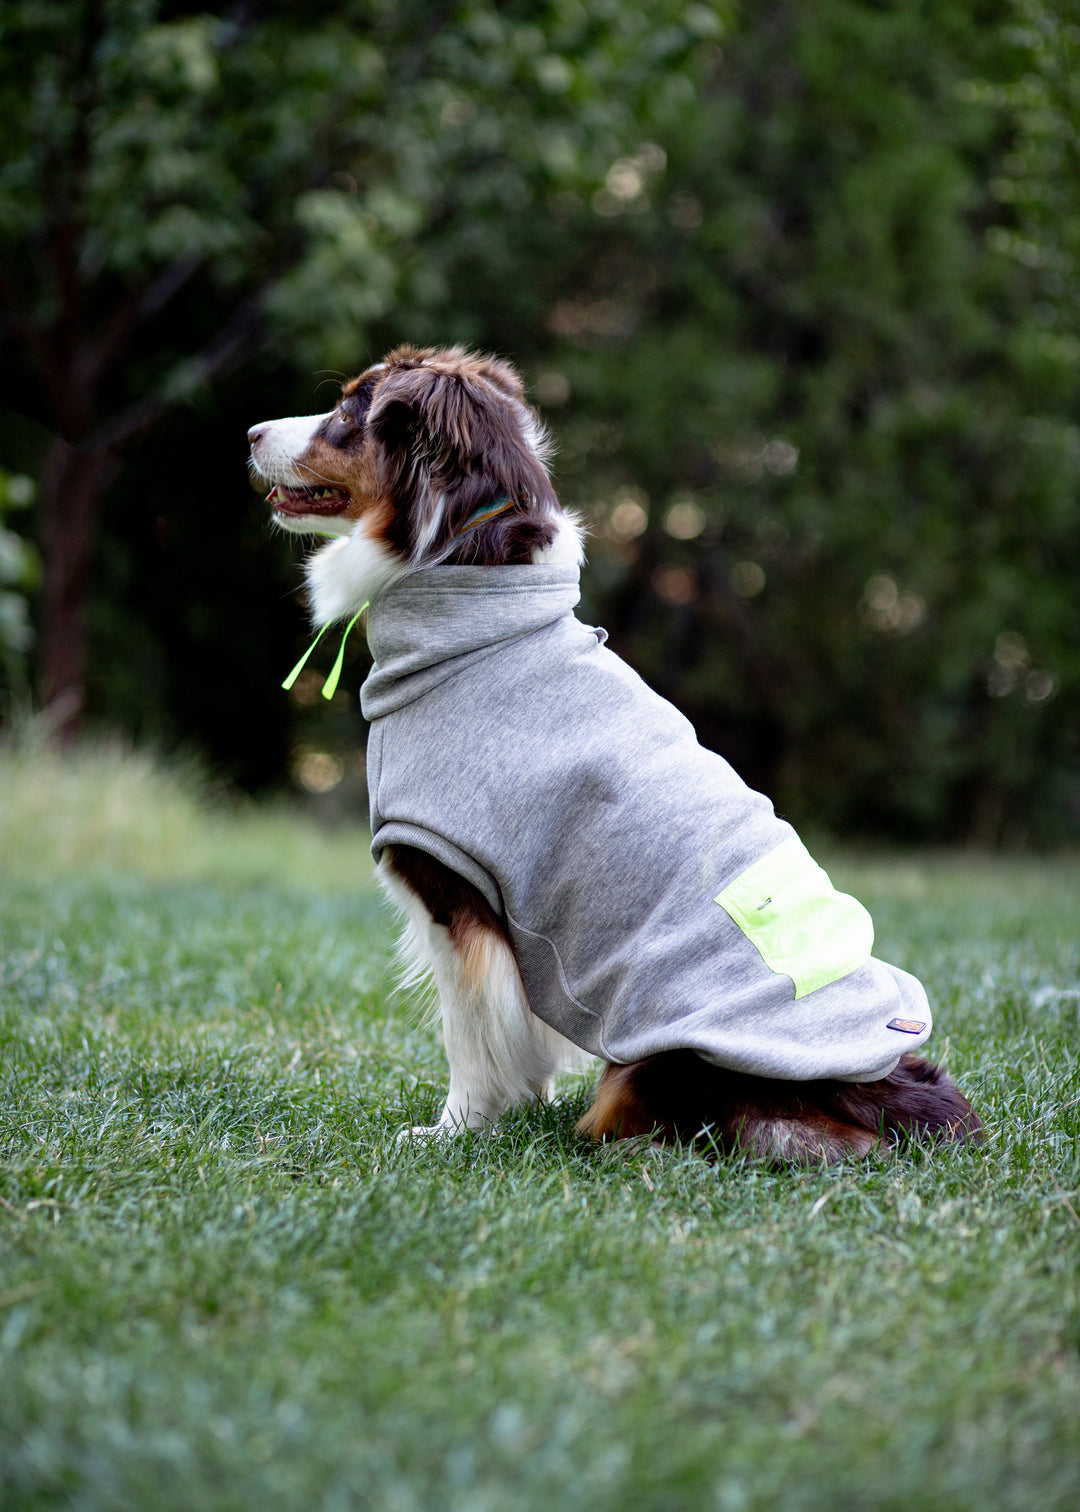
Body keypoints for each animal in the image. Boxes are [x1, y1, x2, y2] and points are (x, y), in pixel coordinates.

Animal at [248, 346, 980, 1167]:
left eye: (350, 411)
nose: (248, 433)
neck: (469, 585)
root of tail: (880, 1083)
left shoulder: (458, 900)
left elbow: (471, 1035)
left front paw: (453, 1130)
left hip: (657, 1065)